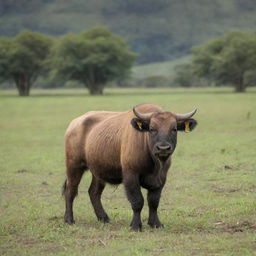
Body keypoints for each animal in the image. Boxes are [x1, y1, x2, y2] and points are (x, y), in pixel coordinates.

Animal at [62, 103, 198, 231]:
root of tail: (75, 123)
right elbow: (137, 201)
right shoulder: (131, 176)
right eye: (152, 128)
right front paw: (136, 226)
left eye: (174, 129)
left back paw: (104, 218)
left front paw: (155, 224)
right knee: (70, 191)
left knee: (94, 192)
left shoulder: (161, 178)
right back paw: (69, 220)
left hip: (98, 171)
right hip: (74, 166)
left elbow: (154, 201)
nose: (163, 148)